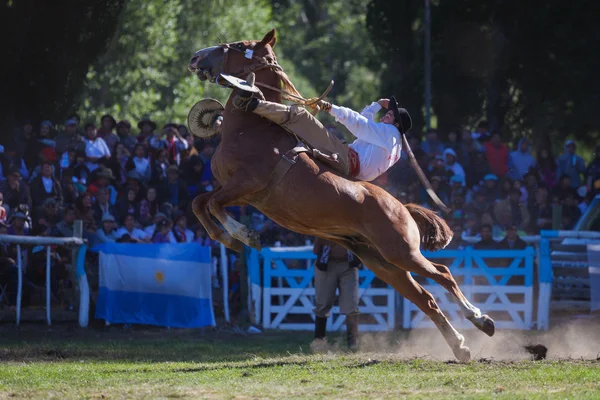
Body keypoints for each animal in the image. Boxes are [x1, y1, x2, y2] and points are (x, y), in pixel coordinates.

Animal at [186, 28, 492, 362]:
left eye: (240, 45)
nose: (196, 57)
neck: (252, 129)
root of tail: (402, 207)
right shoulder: (239, 194)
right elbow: (200, 203)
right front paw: (227, 236)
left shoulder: (247, 184)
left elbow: (212, 203)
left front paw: (243, 236)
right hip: (381, 261)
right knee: (425, 298)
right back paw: (461, 346)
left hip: (402, 252)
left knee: (443, 274)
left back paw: (480, 320)